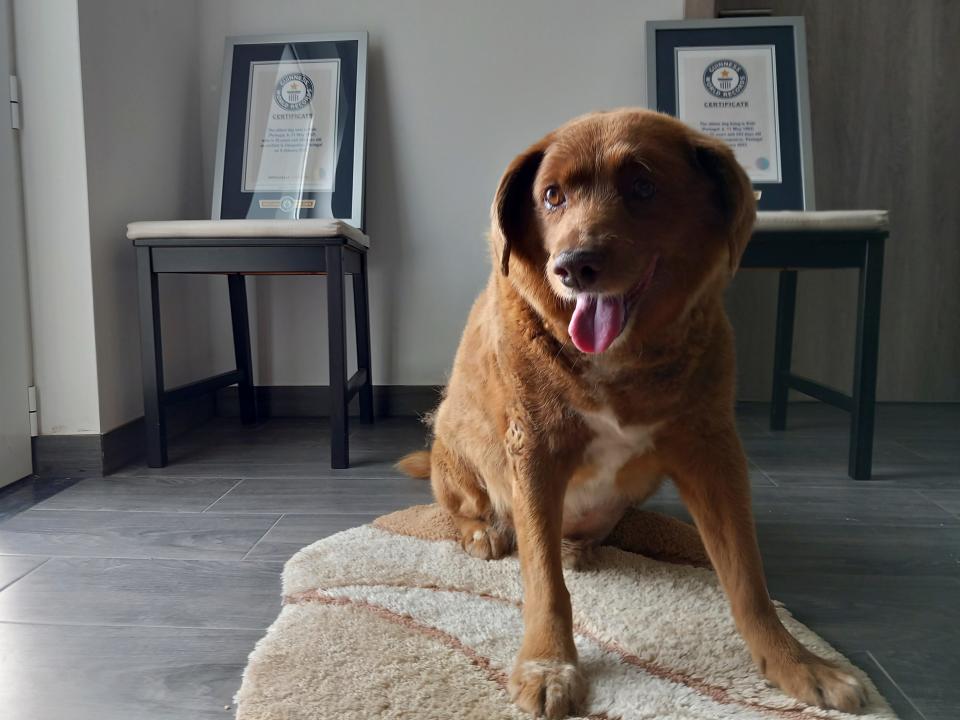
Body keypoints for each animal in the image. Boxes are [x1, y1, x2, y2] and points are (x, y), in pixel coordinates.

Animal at [398, 108, 872, 720]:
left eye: (643, 187)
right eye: (551, 195)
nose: (572, 266)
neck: (619, 359)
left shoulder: (713, 449)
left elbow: (748, 579)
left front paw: (796, 663)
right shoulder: (534, 447)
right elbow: (543, 581)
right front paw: (548, 663)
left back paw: (580, 546)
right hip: (456, 449)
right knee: (462, 508)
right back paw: (483, 532)